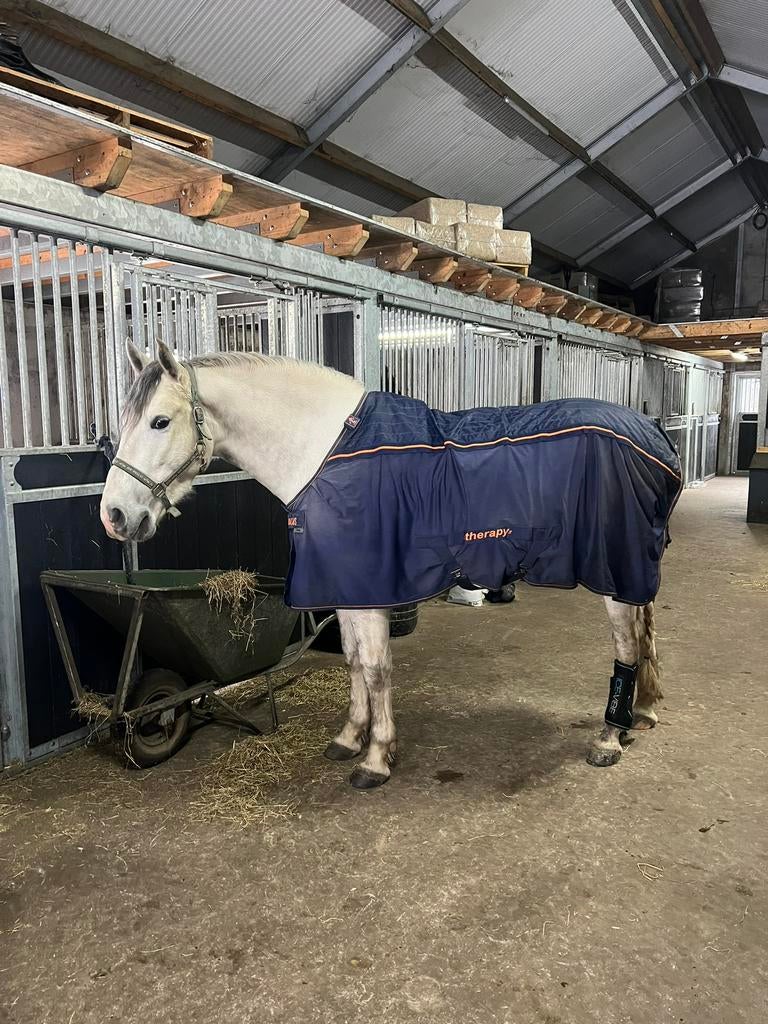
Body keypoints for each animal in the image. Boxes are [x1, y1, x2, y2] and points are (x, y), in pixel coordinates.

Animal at [100, 340, 680, 789]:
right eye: (123, 422)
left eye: (159, 421)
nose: (114, 516)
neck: (325, 450)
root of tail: (656, 438)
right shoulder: (346, 588)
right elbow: (356, 663)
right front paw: (348, 739)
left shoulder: (371, 587)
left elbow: (377, 668)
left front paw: (377, 759)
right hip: (635, 571)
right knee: (647, 633)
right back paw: (643, 713)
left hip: (615, 571)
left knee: (628, 647)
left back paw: (610, 738)